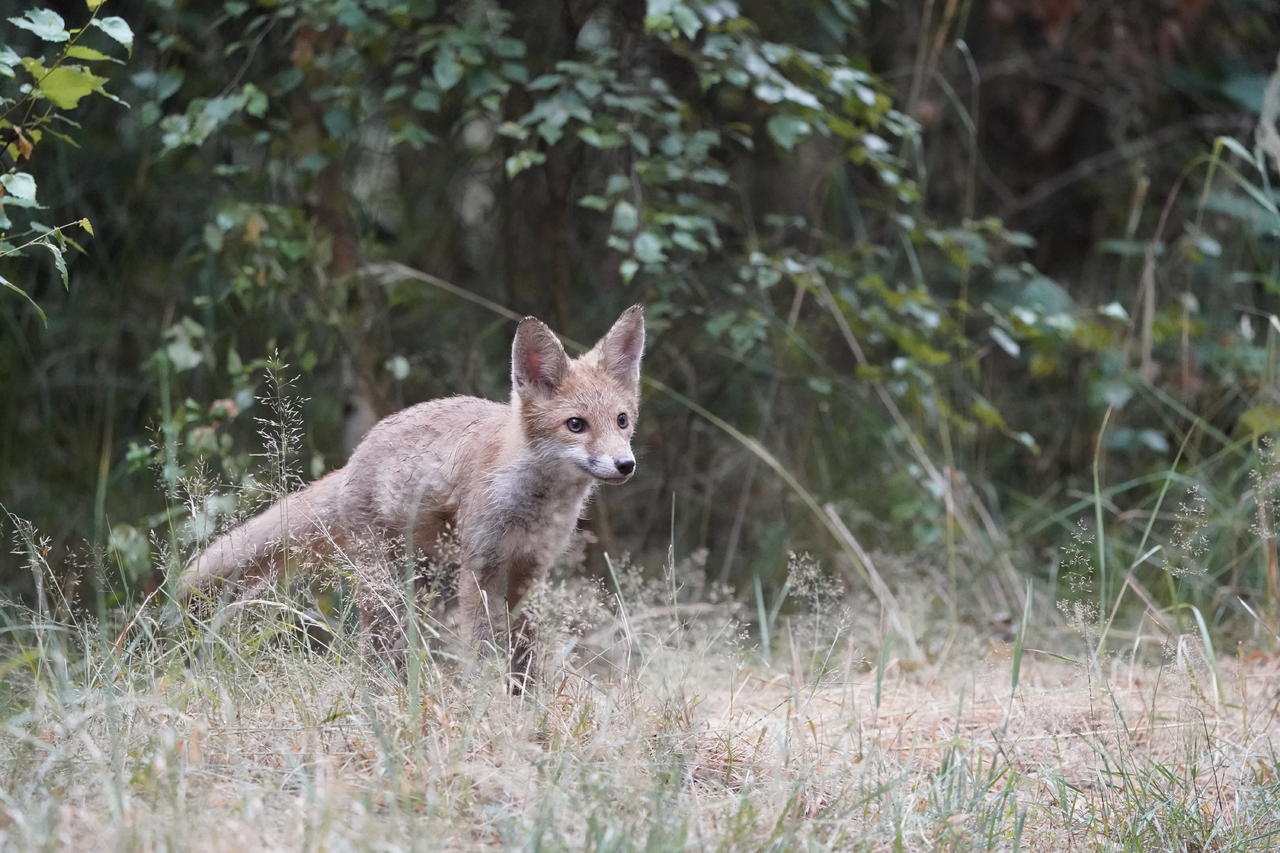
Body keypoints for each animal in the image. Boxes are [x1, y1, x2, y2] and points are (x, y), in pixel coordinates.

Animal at [177, 306, 650, 676]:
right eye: (576, 425)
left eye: (622, 421)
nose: (625, 465)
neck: (533, 503)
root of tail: (354, 458)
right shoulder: (480, 570)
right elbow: (483, 655)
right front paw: (488, 708)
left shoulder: (529, 571)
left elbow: (526, 657)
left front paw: (527, 706)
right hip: (386, 593)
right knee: (375, 654)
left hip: (423, 583)